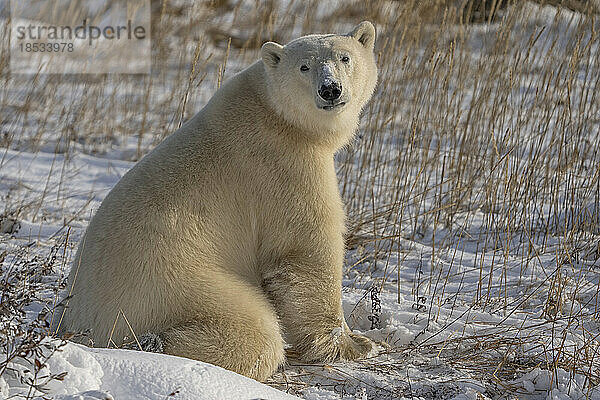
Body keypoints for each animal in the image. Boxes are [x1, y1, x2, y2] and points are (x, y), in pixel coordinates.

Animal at [54, 20, 378, 380]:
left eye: (345, 57)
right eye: (304, 67)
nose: (330, 89)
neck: (272, 112)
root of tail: (76, 322)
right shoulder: (281, 166)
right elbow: (306, 252)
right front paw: (355, 344)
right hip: (170, 283)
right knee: (252, 330)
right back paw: (157, 343)